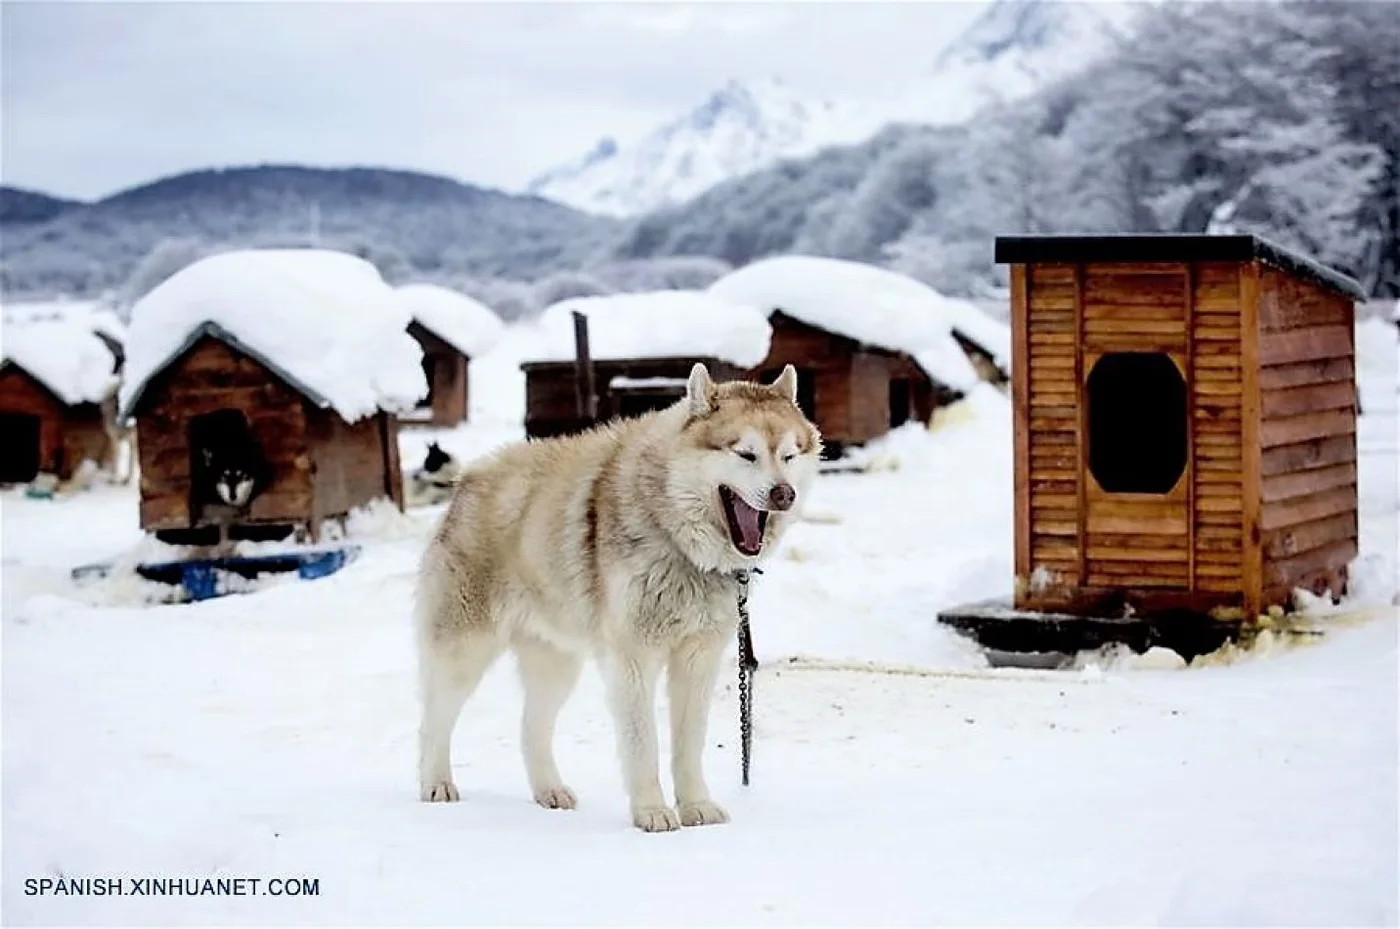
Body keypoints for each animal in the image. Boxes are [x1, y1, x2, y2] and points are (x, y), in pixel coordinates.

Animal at [420, 363, 823, 833]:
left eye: (790, 456)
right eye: (746, 454)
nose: (784, 494)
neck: (676, 539)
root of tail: (466, 481)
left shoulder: (697, 659)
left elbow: (689, 744)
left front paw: (696, 806)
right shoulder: (633, 658)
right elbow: (643, 742)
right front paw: (652, 812)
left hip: (556, 664)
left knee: (531, 728)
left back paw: (549, 791)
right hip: (463, 654)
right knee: (434, 721)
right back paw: (436, 785)